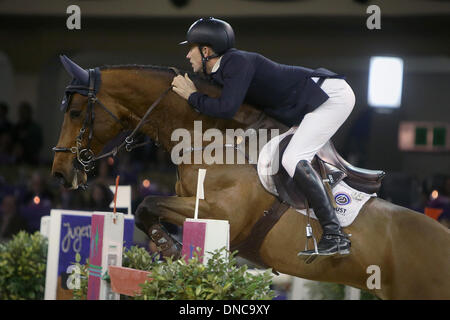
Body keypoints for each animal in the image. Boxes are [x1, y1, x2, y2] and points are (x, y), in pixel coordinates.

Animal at [51, 57, 448, 300]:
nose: (60, 174)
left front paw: (172, 249)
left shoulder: (221, 213)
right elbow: (149, 208)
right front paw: (170, 249)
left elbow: (148, 203)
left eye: (75, 112)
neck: (208, 140)